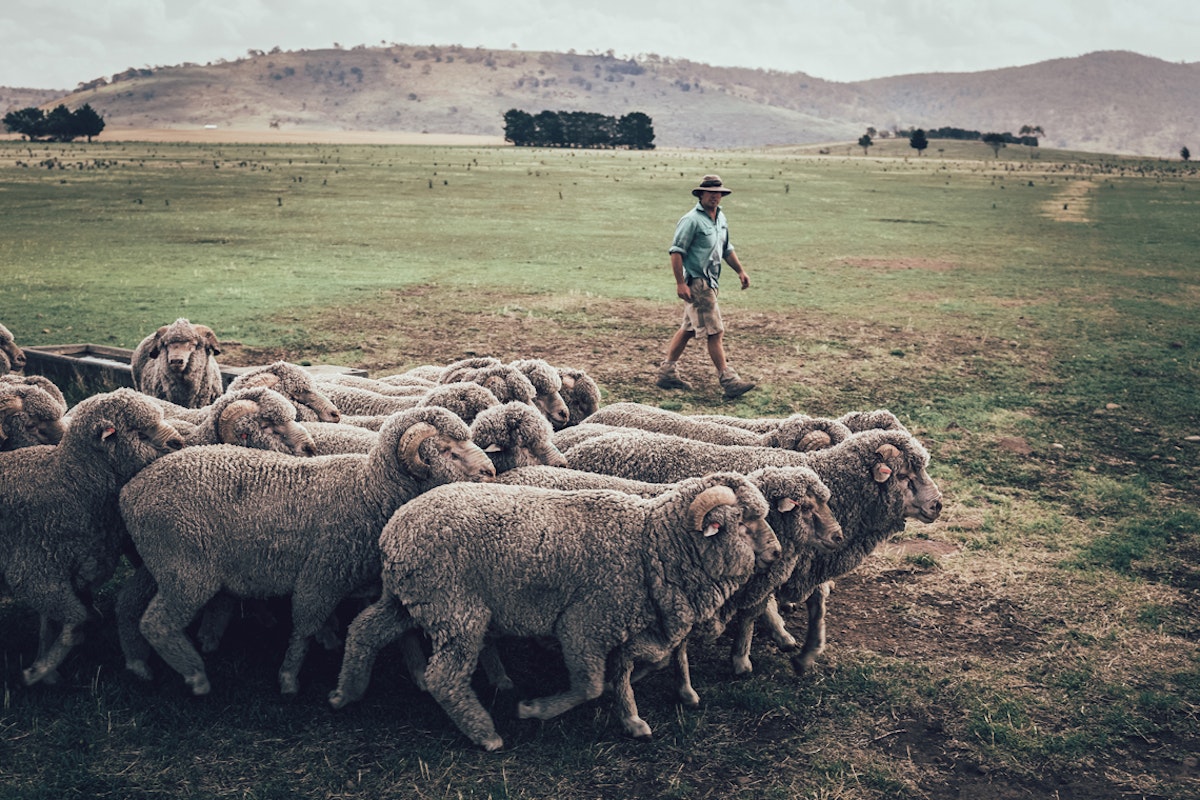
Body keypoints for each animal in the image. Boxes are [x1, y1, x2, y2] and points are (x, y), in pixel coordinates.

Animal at [0, 388, 184, 685]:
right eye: (139, 433)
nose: (179, 442)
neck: (70, 483)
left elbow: (55, 622)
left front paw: (44, 664)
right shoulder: (34, 574)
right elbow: (75, 621)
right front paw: (41, 670)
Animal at [117, 406, 496, 695]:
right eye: (448, 450)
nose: (490, 471)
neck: (369, 492)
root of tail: (130, 491)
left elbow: (402, 635)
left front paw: (418, 672)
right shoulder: (323, 572)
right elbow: (304, 624)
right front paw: (289, 678)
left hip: (164, 562)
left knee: (131, 601)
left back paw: (137, 663)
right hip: (187, 570)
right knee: (157, 623)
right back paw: (195, 675)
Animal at [328, 472, 780, 750]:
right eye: (744, 523)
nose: (776, 553)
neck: (650, 545)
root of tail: (395, 530)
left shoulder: (621, 624)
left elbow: (626, 673)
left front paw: (631, 719)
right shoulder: (585, 624)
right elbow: (589, 686)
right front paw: (535, 710)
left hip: (409, 600)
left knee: (364, 630)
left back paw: (345, 693)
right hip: (455, 609)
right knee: (445, 677)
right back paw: (485, 734)